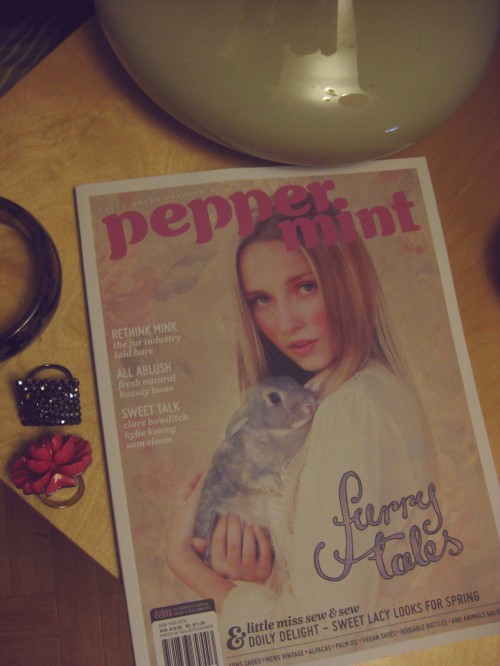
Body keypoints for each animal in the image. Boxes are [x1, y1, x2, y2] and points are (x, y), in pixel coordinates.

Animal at [193, 374, 314, 556]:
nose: (311, 404)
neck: (271, 432)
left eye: (294, 380)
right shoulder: (238, 468)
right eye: (274, 397)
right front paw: (274, 485)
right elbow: (253, 476)